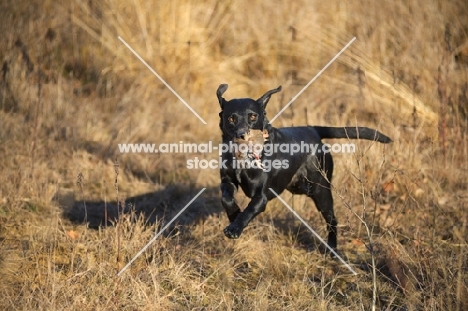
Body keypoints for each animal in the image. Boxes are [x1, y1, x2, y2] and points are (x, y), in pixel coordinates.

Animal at [218, 84, 392, 251]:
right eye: (231, 118)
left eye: (253, 116)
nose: (242, 135)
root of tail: (312, 129)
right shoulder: (227, 181)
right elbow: (225, 198)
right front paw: (234, 214)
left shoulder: (261, 195)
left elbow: (250, 209)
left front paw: (234, 228)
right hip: (300, 187)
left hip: (320, 189)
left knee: (332, 219)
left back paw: (332, 249)